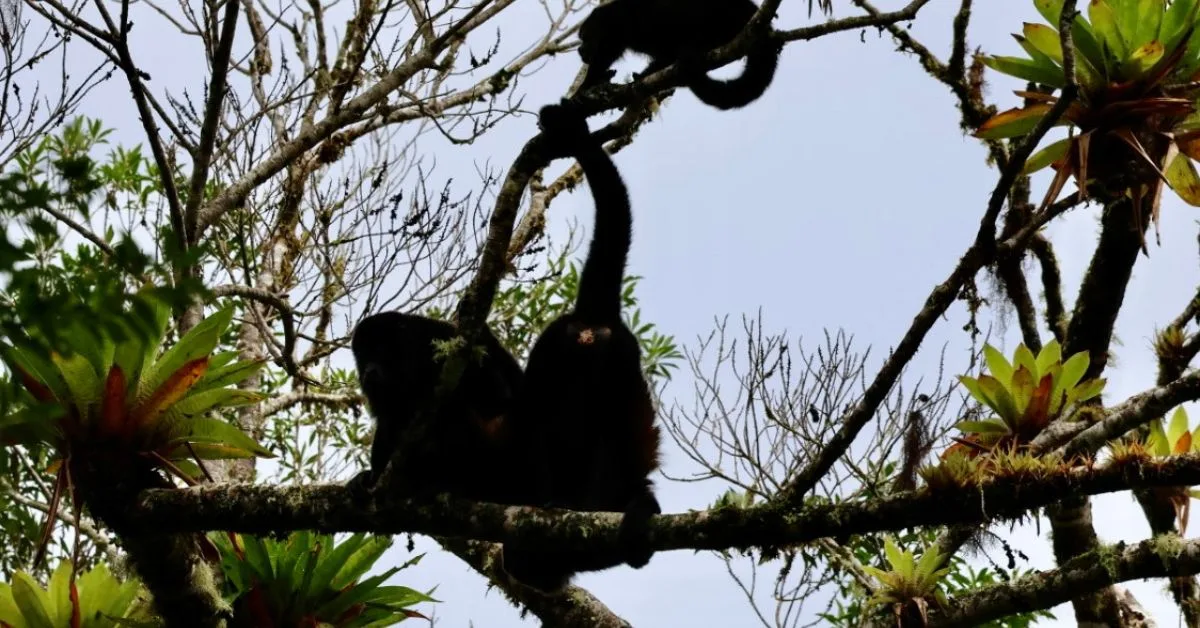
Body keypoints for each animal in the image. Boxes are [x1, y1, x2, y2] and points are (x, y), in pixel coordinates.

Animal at [346, 311, 526, 503]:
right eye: (363, 355)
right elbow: (388, 421)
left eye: (380, 350)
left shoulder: (441, 338)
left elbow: (496, 395)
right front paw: (370, 477)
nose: (368, 371)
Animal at [574, 0, 782, 110]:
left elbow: (605, 56)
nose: (580, 50)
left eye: (584, 37)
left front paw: (583, 88)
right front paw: (644, 75)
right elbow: (665, 56)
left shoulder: (617, 27)